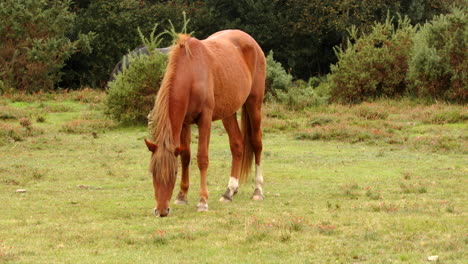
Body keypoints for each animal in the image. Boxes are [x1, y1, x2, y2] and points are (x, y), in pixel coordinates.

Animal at [144, 29, 266, 218]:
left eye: (174, 172)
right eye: (152, 171)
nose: (162, 210)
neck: (191, 73)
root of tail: (251, 41)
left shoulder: (205, 119)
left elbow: (202, 158)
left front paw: (202, 201)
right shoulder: (184, 123)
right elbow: (186, 156)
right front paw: (182, 196)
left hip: (254, 104)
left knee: (257, 143)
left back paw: (258, 190)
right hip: (228, 113)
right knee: (237, 144)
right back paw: (229, 191)